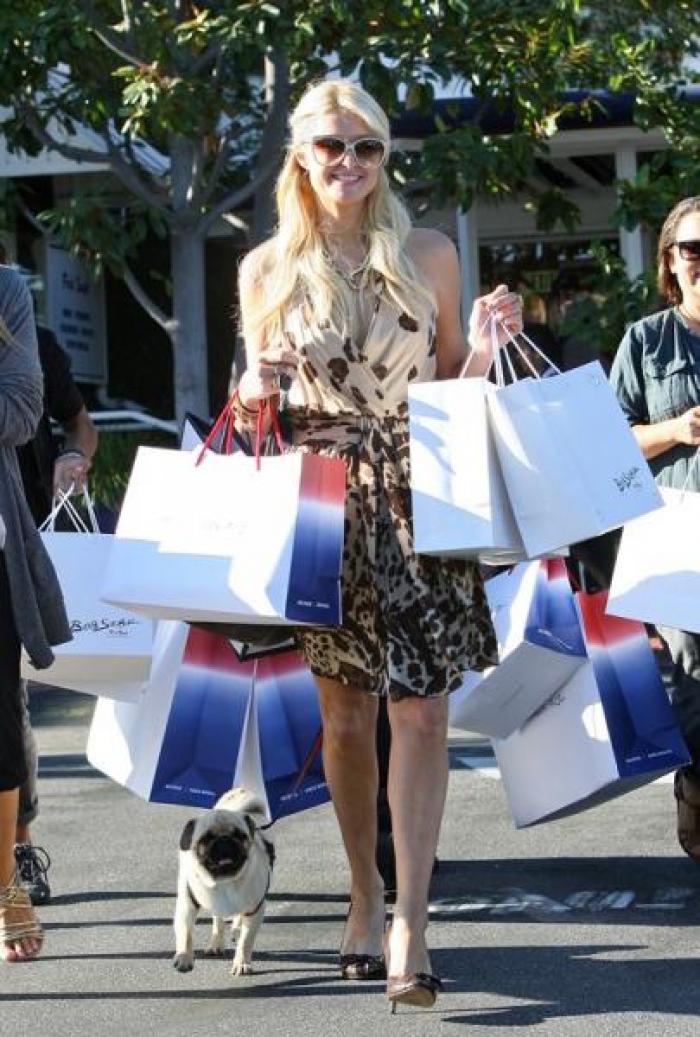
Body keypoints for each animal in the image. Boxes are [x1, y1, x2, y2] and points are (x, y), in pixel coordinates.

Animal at [173, 788, 274, 976]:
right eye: (206, 838)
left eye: (239, 836)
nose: (224, 841)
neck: (223, 882)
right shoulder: (187, 905)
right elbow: (186, 934)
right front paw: (184, 958)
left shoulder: (255, 909)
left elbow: (246, 941)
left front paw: (241, 963)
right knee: (218, 922)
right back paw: (216, 943)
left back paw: (236, 928)